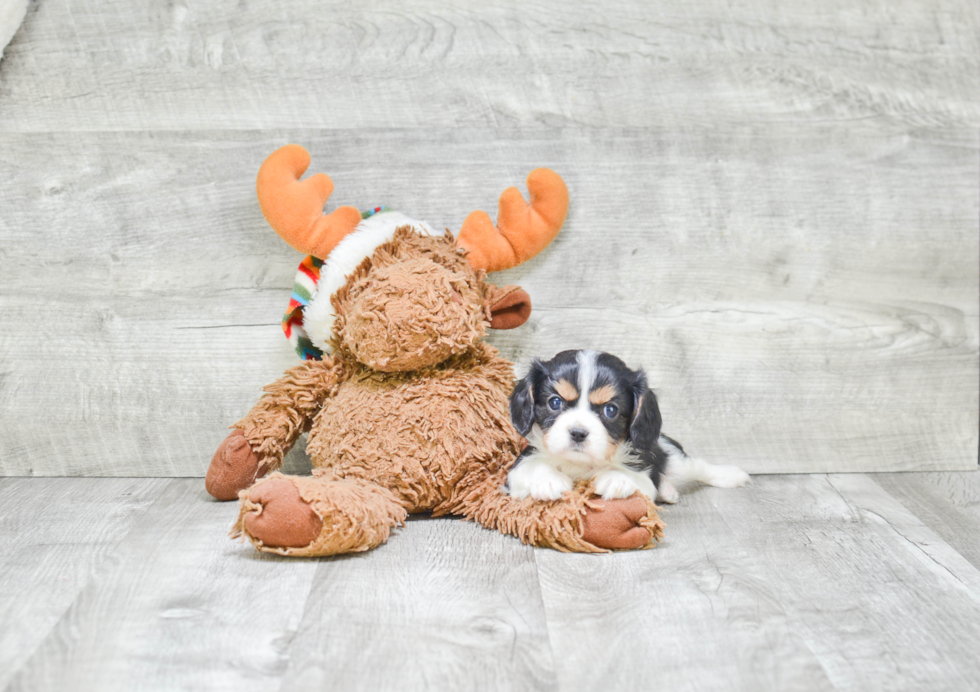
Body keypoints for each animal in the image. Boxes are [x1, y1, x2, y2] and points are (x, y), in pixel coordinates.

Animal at [506, 352, 752, 502]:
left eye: (611, 410)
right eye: (555, 402)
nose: (578, 433)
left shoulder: (644, 478)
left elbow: (636, 478)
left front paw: (616, 478)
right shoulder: (515, 472)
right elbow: (531, 466)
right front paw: (548, 479)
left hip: (672, 457)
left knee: (697, 466)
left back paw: (731, 475)